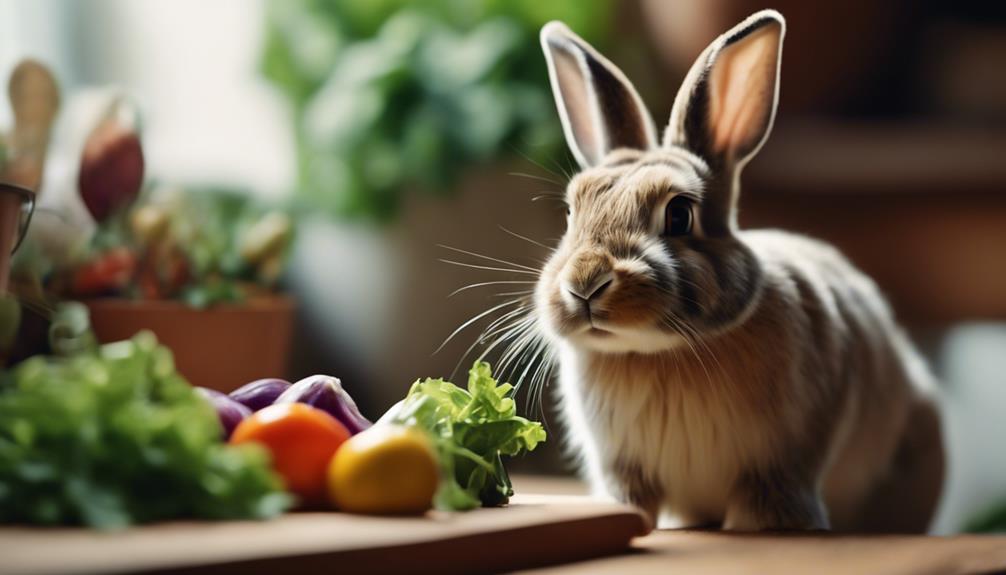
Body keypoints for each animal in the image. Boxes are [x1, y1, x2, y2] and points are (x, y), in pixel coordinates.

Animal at [533, 10, 945, 532]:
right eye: (571, 212)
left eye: (679, 215)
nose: (585, 284)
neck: (660, 352)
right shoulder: (624, 468)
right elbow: (632, 499)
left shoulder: (780, 463)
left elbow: (763, 502)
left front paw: (766, 529)